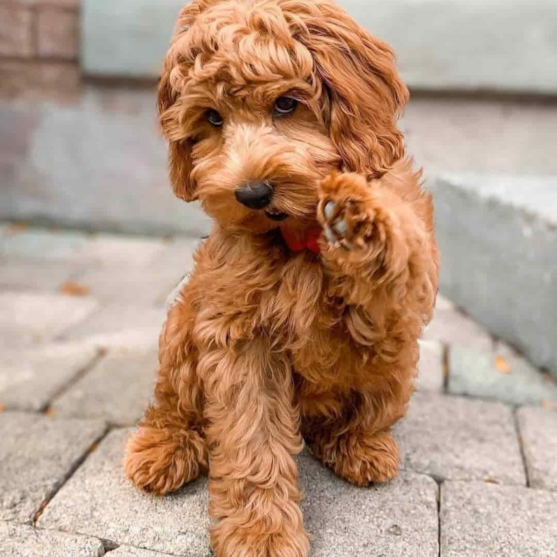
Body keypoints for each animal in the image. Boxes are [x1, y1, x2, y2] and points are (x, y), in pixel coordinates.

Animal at [125, 2, 438, 552]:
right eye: (212, 118)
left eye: (287, 104)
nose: (251, 193)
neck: (295, 235)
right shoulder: (237, 333)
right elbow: (250, 436)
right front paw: (261, 532)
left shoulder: (398, 311)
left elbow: (387, 287)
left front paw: (358, 221)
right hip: (183, 324)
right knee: (174, 402)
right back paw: (166, 446)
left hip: (397, 371)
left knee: (359, 417)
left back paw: (359, 446)